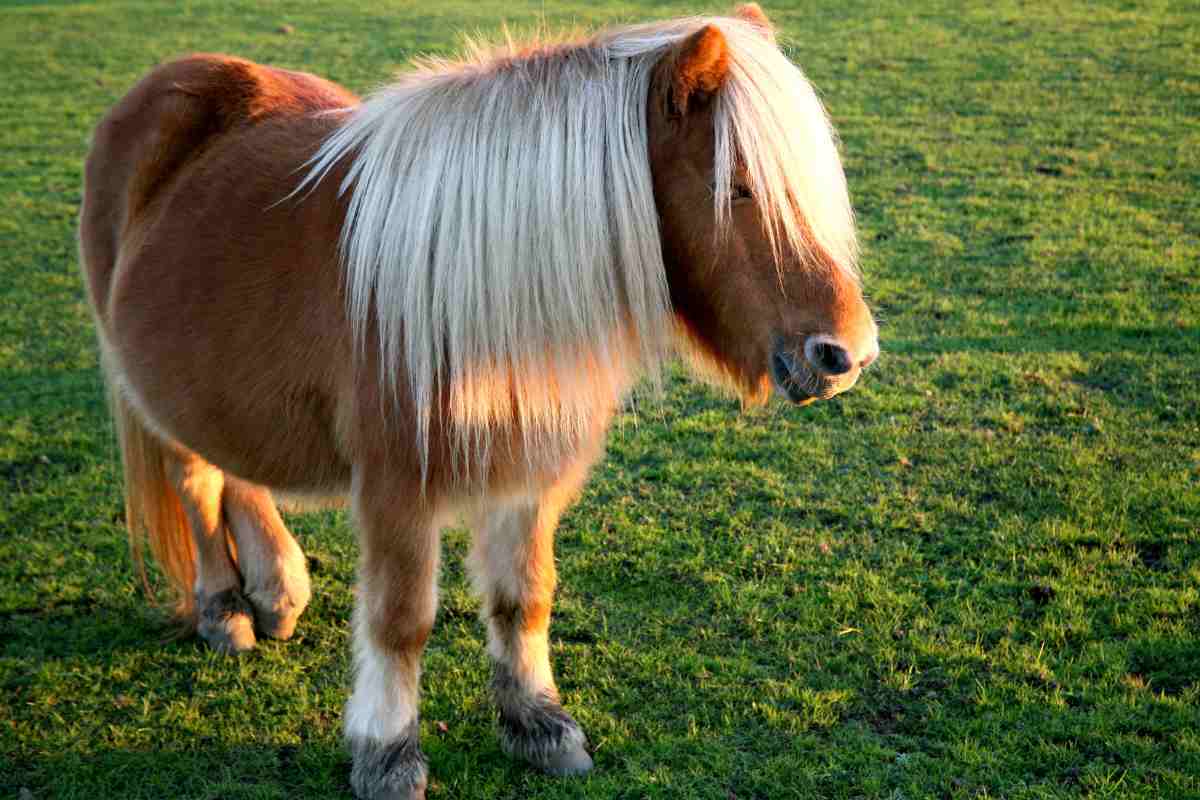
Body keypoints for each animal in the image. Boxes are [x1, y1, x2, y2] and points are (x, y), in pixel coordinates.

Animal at [79, 5, 878, 798]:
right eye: (738, 186)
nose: (849, 355)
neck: (471, 297)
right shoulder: (397, 488)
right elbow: (401, 622)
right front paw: (388, 755)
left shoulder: (531, 473)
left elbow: (524, 595)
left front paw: (539, 723)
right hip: (154, 390)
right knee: (195, 480)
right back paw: (224, 610)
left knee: (235, 468)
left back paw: (277, 588)